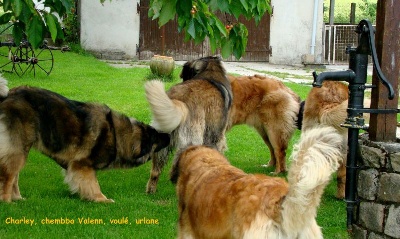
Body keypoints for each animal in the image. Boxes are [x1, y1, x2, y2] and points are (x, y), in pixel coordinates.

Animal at [0, 79, 170, 203]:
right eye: (156, 136)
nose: (169, 136)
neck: (116, 135)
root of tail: (9, 94)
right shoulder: (82, 165)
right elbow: (93, 184)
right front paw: (102, 199)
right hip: (18, 149)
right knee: (8, 176)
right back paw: (7, 202)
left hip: (21, 149)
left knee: (14, 177)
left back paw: (18, 199)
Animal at [145, 56, 233, 194]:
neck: (210, 72)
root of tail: (179, 101)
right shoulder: (216, 134)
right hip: (192, 137)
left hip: (162, 138)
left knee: (155, 171)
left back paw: (151, 189)